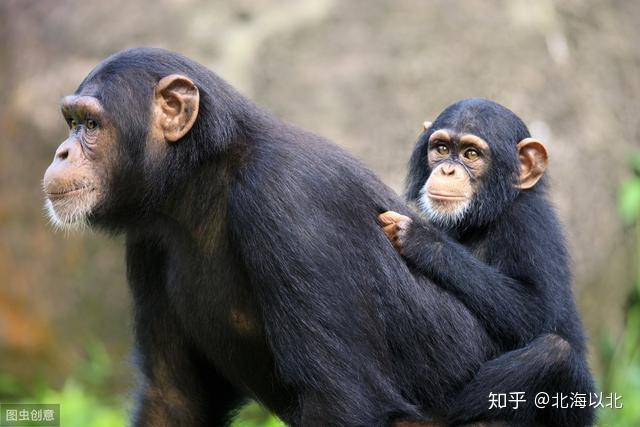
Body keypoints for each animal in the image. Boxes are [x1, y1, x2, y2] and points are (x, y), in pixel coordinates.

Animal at [42, 48, 504, 426]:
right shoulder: (148, 242)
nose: (62, 152)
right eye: (72, 122)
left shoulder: (289, 200)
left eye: (91, 124)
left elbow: (338, 398)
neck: (203, 179)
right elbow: (172, 398)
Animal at [380, 98, 596, 426]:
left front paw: (422, 238)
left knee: (554, 352)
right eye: (441, 148)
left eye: (471, 154)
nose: (447, 170)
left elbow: (536, 308)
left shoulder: (530, 225)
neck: (484, 218)